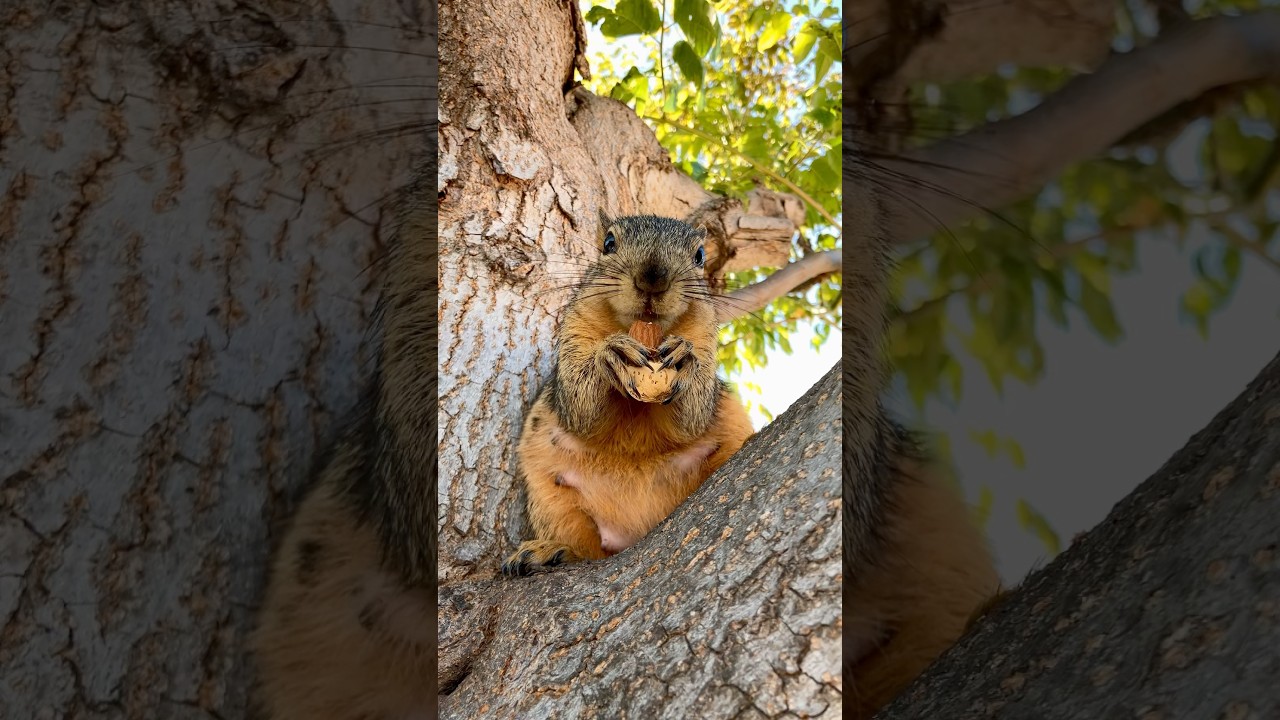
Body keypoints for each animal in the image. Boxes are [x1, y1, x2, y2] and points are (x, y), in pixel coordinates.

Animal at [500, 212, 756, 576]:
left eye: (700, 256)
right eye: (608, 243)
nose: (652, 281)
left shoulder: (705, 334)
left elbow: (692, 418)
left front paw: (684, 358)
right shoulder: (576, 328)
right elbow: (580, 409)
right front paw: (610, 354)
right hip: (552, 496)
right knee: (584, 548)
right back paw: (550, 550)